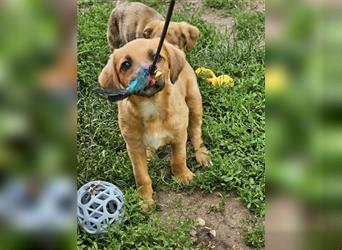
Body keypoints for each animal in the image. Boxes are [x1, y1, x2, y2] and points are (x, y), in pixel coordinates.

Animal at [99, 38, 210, 209]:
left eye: (156, 57)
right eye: (126, 64)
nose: (148, 71)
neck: (151, 107)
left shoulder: (179, 136)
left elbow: (178, 159)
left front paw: (183, 176)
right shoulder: (133, 147)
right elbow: (141, 176)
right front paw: (145, 200)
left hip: (194, 100)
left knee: (195, 131)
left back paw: (202, 154)